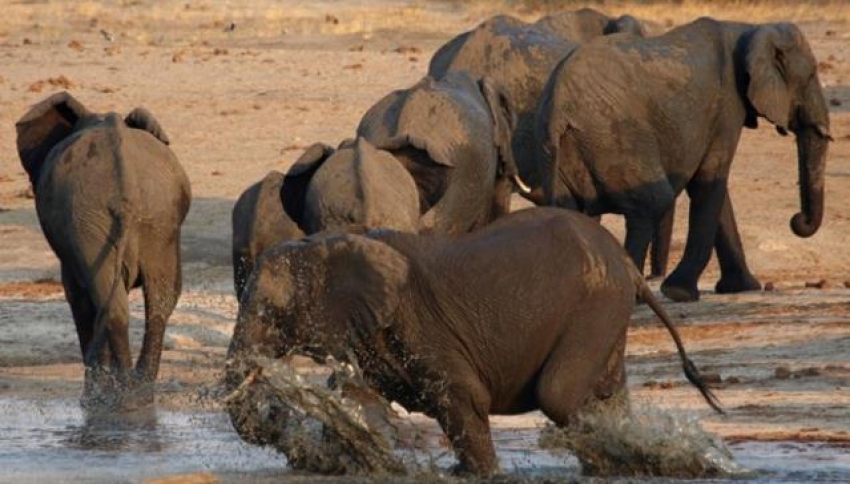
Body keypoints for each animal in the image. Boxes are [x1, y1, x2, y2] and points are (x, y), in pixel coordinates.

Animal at [15, 91, 190, 408]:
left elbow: (78, 297)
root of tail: (126, 186)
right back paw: (139, 391)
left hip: (87, 219)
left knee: (110, 303)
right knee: (160, 299)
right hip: (159, 218)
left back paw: (112, 394)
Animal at [225, 207, 716, 476]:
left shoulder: (422, 326)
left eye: (269, 314)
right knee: (607, 392)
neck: (328, 243)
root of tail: (627, 263)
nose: (275, 409)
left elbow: (463, 396)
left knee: (558, 394)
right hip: (606, 311)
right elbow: (361, 401)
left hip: (595, 303)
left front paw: (479, 474)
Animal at [536, 19, 828, 302]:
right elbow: (709, 182)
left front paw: (742, 287)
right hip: (614, 137)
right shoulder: (727, 107)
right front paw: (679, 293)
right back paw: (634, 294)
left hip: (563, 150)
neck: (749, 29)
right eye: (812, 75)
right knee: (652, 202)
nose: (797, 220)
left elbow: (715, 188)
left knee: (572, 212)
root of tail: (559, 107)